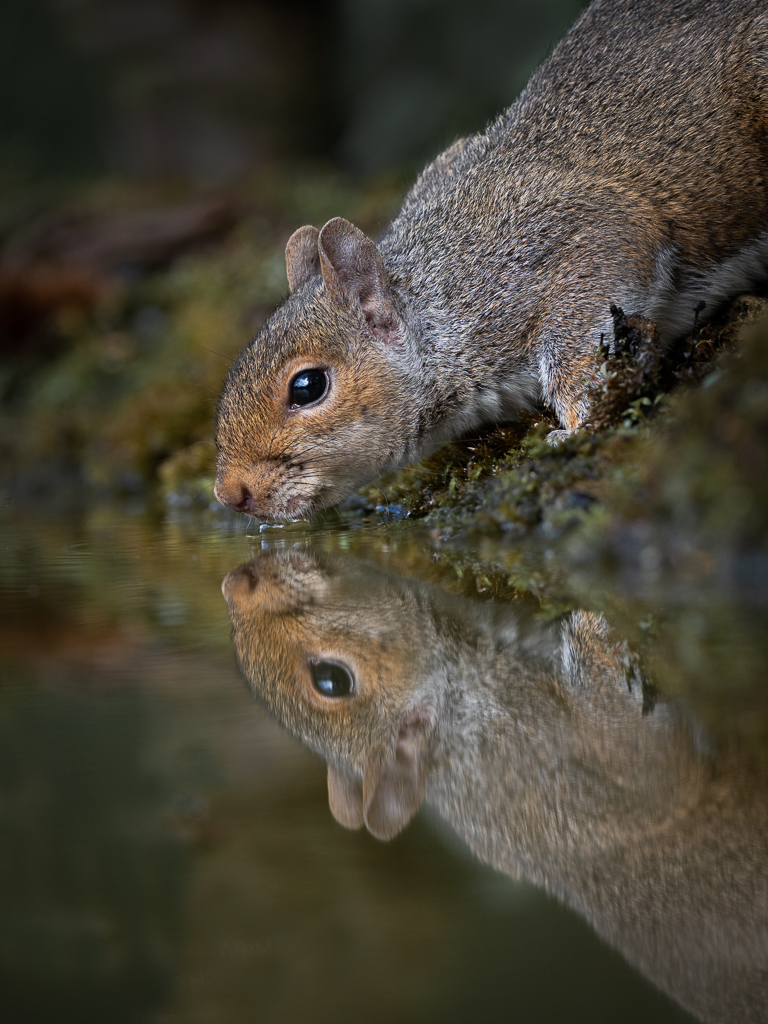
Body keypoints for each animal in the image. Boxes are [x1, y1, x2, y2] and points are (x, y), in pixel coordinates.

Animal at [214, 0, 768, 524]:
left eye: (308, 386)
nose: (229, 495)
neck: (443, 295)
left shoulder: (579, 238)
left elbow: (578, 340)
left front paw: (577, 427)